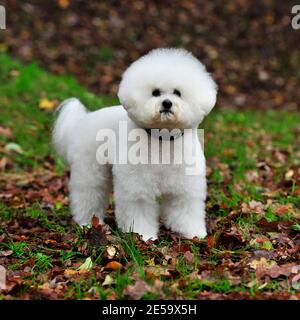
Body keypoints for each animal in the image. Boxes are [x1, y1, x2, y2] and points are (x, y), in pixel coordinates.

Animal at [52, 48, 217, 240]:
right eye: (155, 92)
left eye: (177, 92)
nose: (166, 103)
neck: (162, 139)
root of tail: (82, 121)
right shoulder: (137, 186)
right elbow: (139, 209)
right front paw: (142, 235)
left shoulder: (185, 187)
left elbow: (185, 208)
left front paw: (192, 232)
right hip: (90, 171)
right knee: (88, 195)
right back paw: (87, 223)